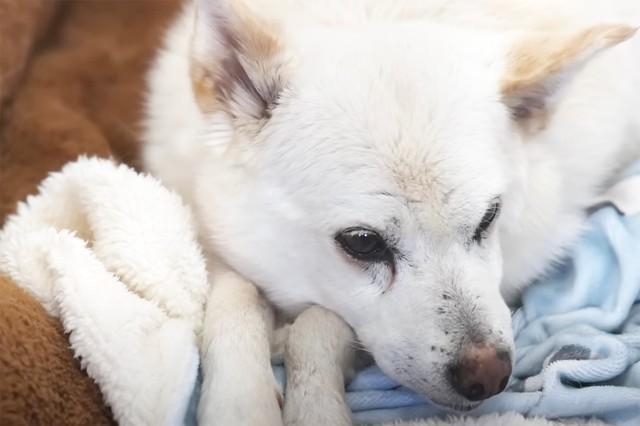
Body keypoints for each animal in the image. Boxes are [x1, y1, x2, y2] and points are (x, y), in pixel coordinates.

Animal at [141, 0, 640, 422]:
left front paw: (315, 403)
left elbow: (317, 325)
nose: (490, 375)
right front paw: (241, 402)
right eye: (363, 243)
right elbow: (234, 300)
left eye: (488, 218)